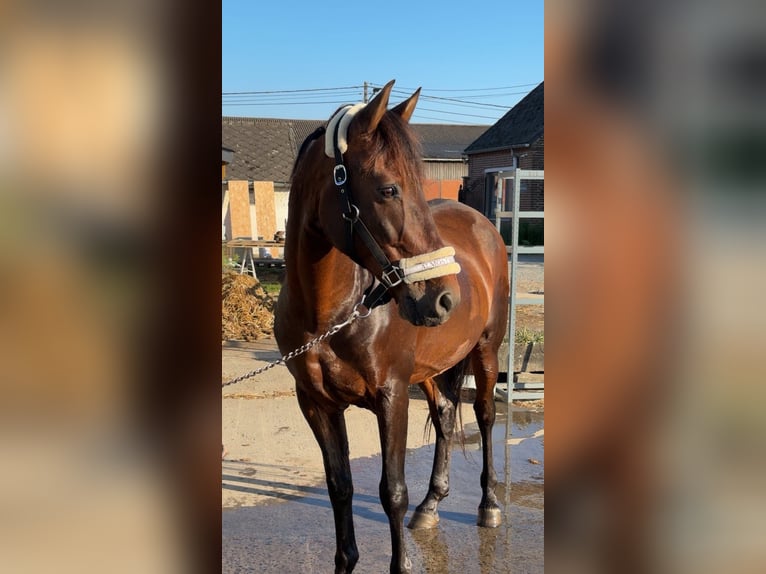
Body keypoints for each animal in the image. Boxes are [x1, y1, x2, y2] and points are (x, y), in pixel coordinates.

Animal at [274, 80, 509, 574]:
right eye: (387, 189)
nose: (443, 299)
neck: (331, 315)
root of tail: (482, 223)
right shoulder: (316, 404)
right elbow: (339, 486)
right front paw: (345, 561)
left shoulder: (392, 395)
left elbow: (392, 493)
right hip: (432, 368)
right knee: (444, 415)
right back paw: (432, 504)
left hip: (485, 351)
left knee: (484, 416)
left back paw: (488, 505)